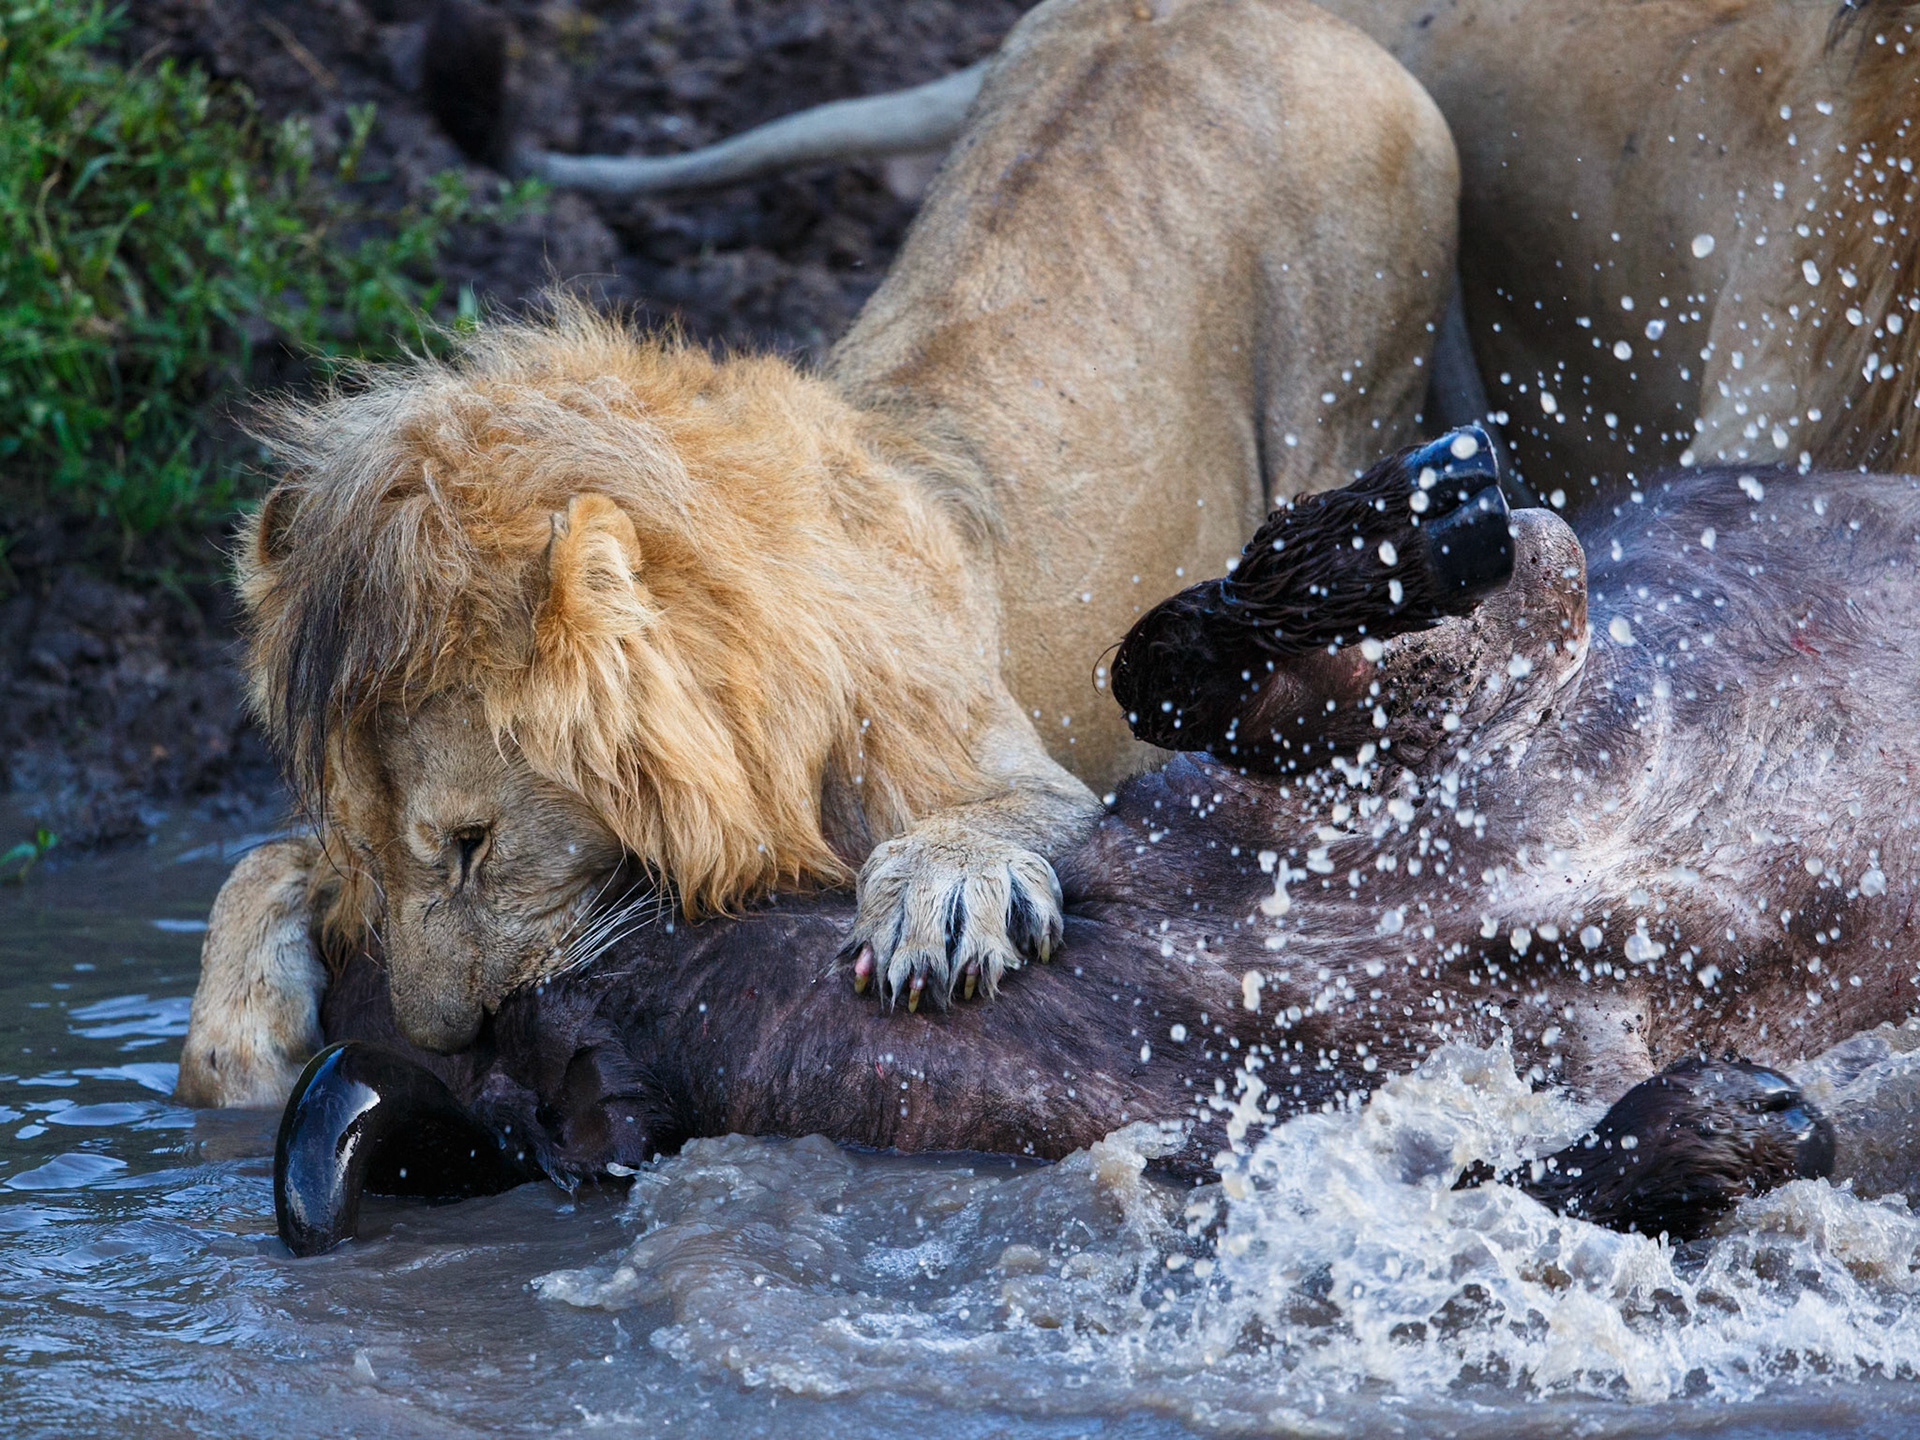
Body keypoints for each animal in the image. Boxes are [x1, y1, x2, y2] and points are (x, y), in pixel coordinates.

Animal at [176, 0, 1461, 1107]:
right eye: (373, 852)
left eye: (471, 845)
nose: (441, 1040)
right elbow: (258, 860)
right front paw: (233, 1045)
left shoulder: (1041, 778)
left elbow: (988, 821)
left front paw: (944, 896)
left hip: (1353, 395)